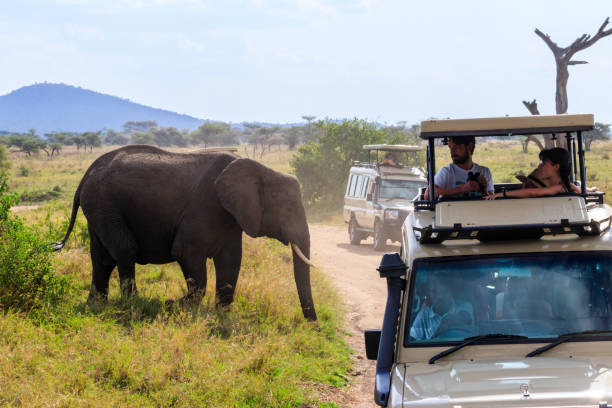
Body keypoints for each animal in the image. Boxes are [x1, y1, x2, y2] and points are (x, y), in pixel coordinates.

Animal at [54, 145, 318, 320]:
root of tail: (87, 173)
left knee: (102, 259)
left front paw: (221, 316)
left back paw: (96, 305)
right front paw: (171, 305)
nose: (312, 324)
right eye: (289, 208)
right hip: (105, 204)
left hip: (99, 209)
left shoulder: (231, 216)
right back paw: (135, 305)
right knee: (124, 250)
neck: (262, 169)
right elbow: (187, 255)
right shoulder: (204, 206)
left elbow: (231, 261)